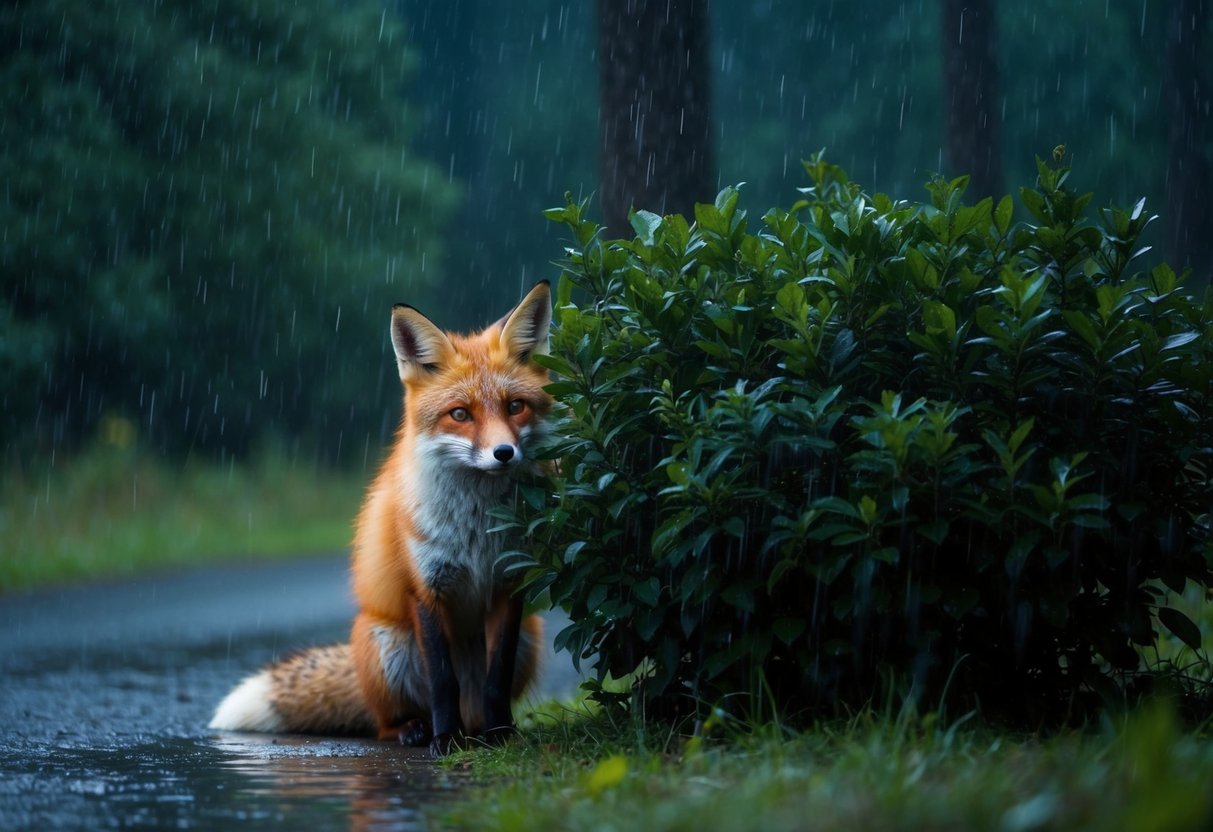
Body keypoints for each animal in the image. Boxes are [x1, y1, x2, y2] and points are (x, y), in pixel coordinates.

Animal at [209, 281, 553, 756]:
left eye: (516, 406)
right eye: (460, 414)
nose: (504, 453)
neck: (477, 529)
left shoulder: (509, 584)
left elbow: (495, 679)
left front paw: (502, 734)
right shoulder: (425, 589)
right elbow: (442, 680)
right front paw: (445, 740)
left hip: (529, 639)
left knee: (476, 700)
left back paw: (479, 731)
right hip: (388, 644)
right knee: (386, 722)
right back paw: (419, 730)